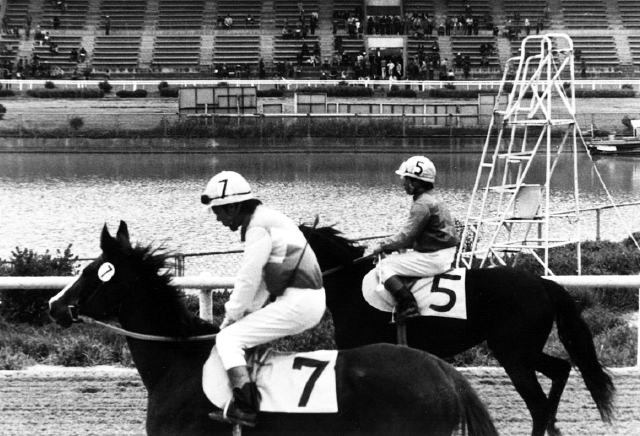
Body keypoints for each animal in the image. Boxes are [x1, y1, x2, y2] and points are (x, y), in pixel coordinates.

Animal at [300, 225, 616, 436]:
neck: (351, 286)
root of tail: (540, 282)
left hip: (513, 353)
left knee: (537, 404)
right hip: (523, 350)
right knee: (561, 369)